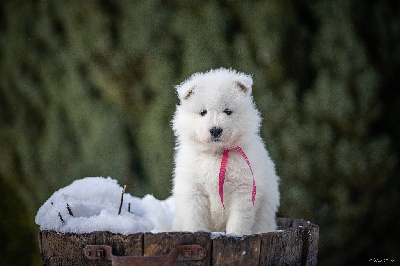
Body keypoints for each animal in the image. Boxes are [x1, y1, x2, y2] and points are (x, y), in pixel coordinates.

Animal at [173, 67, 282, 234]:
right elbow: (195, 218)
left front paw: (236, 235)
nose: (215, 130)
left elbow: (238, 220)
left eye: (228, 111)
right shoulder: (193, 189)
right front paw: (197, 231)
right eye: (203, 112)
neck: (217, 154)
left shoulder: (244, 189)